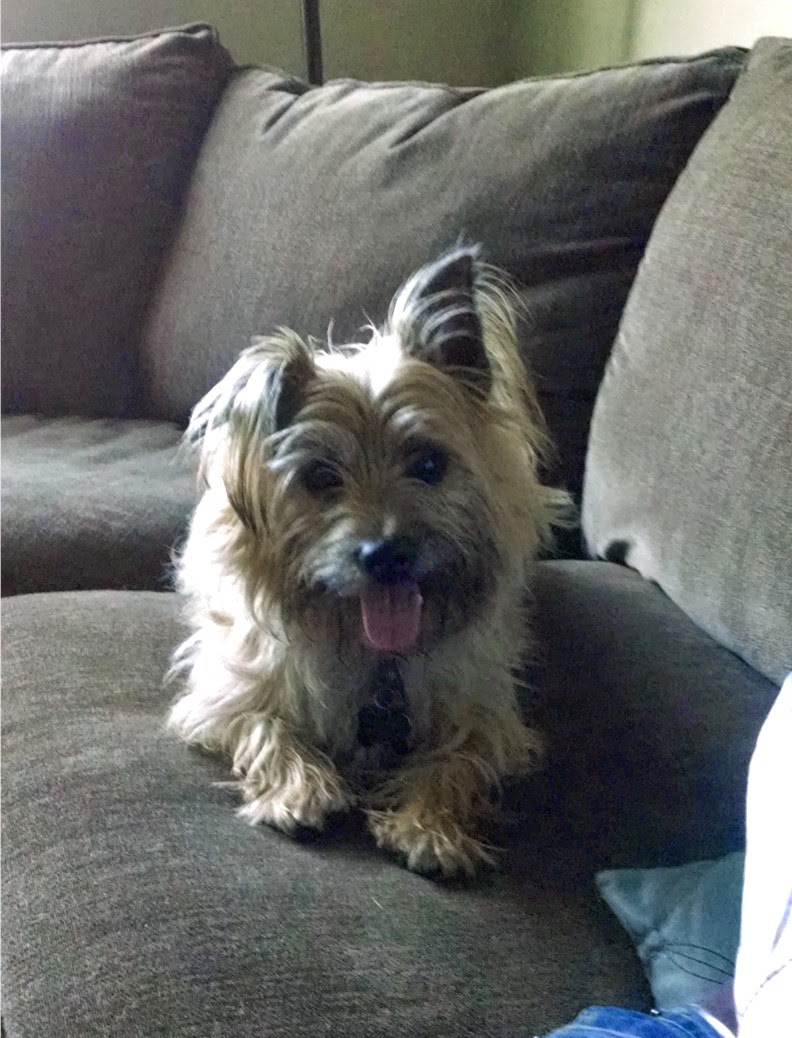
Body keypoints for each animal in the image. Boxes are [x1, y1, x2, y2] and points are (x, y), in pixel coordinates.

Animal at [167, 245, 570, 877]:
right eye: (319, 478)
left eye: (429, 464)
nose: (386, 554)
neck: (375, 656)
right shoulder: (225, 693)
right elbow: (266, 727)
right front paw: (297, 791)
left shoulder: (487, 714)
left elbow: (457, 760)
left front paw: (429, 826)